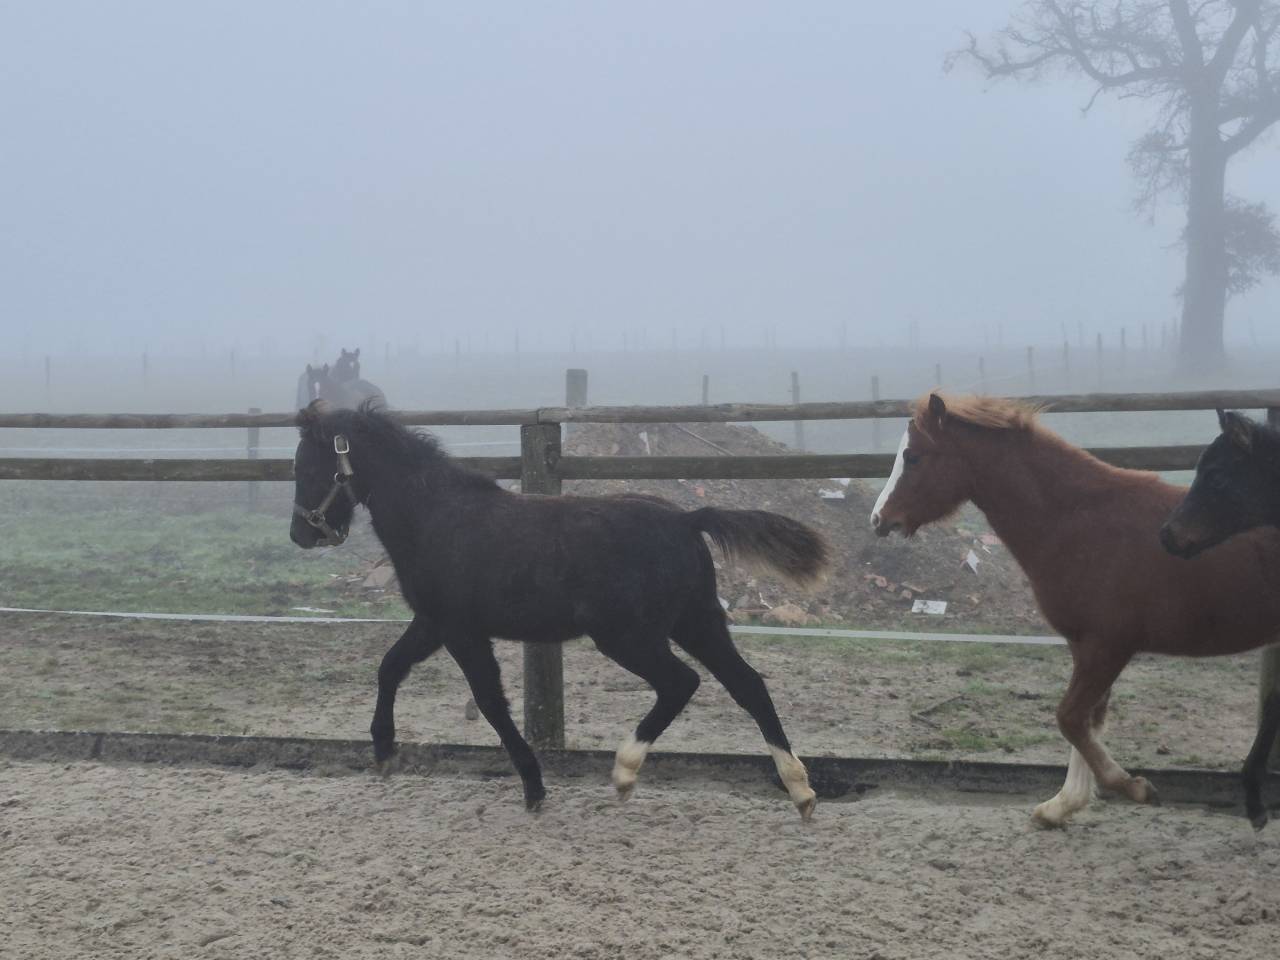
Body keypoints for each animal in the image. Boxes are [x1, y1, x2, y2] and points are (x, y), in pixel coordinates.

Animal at [289, 400, 831, 818]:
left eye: (306, 467)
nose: (301, 535)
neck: (437, 518)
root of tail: (686, 519)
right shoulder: (433, 623)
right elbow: (390, 667)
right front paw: (383, 750)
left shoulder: (461, 630)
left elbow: (490, 702)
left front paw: (534, 787)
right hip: (696, 622)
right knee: (748, 684)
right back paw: (801, 792)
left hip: (629, 636)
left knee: (682, 683)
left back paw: (625, 772)